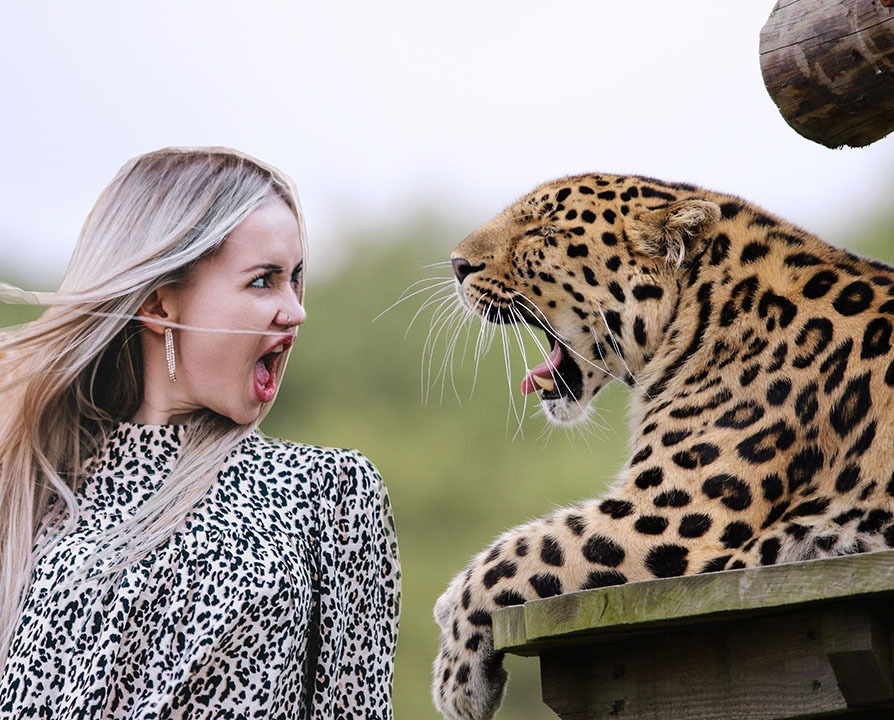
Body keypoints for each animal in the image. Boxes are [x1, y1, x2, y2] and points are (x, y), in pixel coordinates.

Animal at [430, 173, 894, 720]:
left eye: (544, 231)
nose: (457, 264)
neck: (706, 313)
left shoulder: (669, 515)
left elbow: (526, 548)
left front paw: (455, 672)